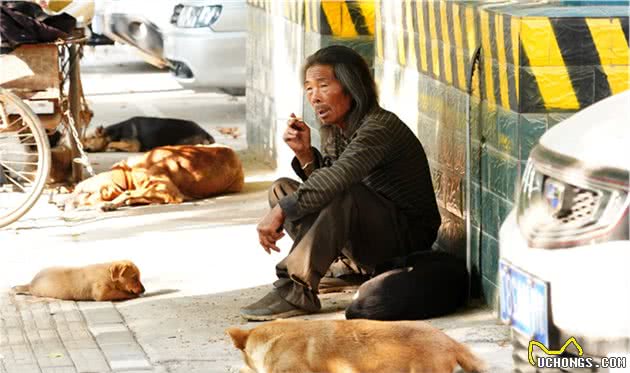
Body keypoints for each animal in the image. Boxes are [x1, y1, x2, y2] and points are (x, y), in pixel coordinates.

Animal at [12, 260, 146, 300]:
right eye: (134, 277)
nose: (144, 290)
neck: (109, 275)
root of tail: (31, 283)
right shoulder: (101, 293)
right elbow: (121, 293)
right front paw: (132, 295)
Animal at [65, 144, 244, 211]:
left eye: (86, 193)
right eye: (76, 189)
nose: (61, 205)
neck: (128, 174)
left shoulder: (167, 189)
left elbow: (128, 192)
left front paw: (112, 203)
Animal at [82, 116, 216, 151]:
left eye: (90, 138)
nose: (82, 147)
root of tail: (204, 132)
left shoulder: (133, 145)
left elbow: (111, 144)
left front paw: (110, 147)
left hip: (180, 142)